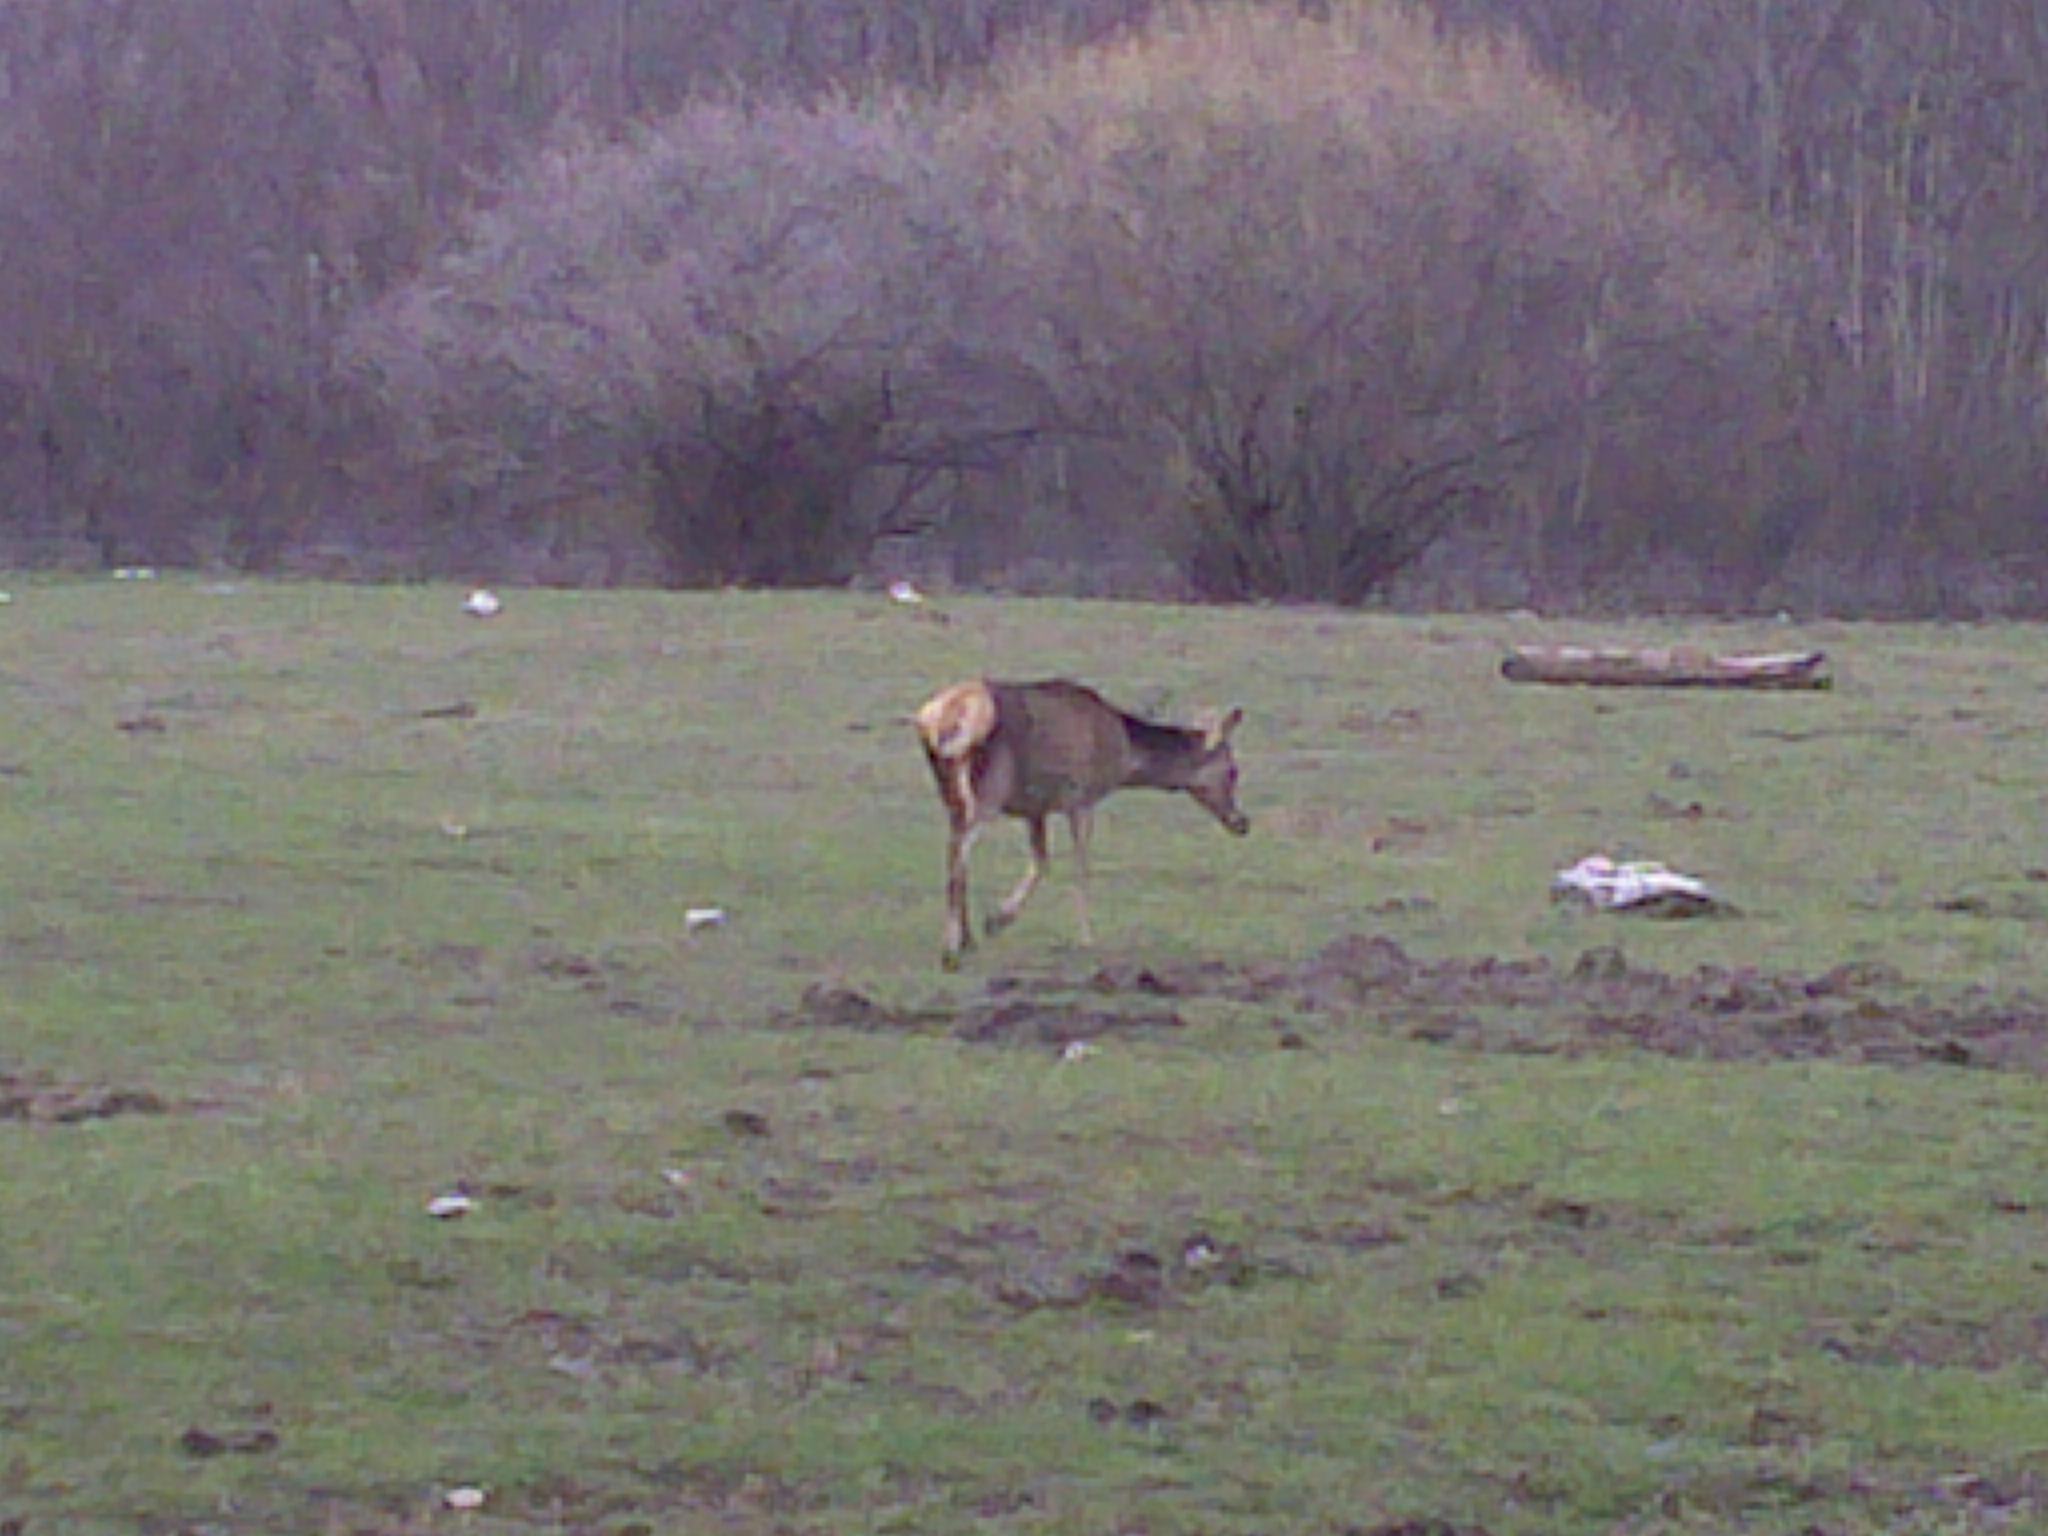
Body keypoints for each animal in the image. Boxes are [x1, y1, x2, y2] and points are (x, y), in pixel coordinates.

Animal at [917, 679, 1245, 966]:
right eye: (1232, 770)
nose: (1242, 822)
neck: (1124, 757)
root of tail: (940, 716)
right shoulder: (1083, 797)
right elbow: (1081, 865)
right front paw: (1087, 937)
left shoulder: (1036, 807)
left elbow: (1042, 862)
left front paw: (997, 920)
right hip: (989, 790)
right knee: (959, 855)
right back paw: (950, 949)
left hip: (951, 791)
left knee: (955, 853)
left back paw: (966, 940)